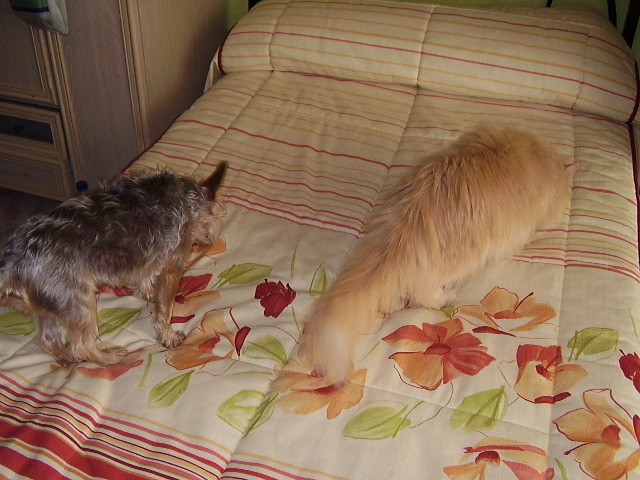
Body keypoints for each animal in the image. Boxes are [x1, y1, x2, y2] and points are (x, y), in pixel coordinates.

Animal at [0, 162, 227, 365]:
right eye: (215, 216)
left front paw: (147, 291)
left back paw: (66, 360)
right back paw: (109, 358)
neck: (186, 194)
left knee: (47, 338)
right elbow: (165, 308)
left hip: (45, 303)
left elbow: (145, 276)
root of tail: (11, 264)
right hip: (76, 299)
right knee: (80, 345)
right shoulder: (174, 263)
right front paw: (169, 336)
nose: (211, 238)